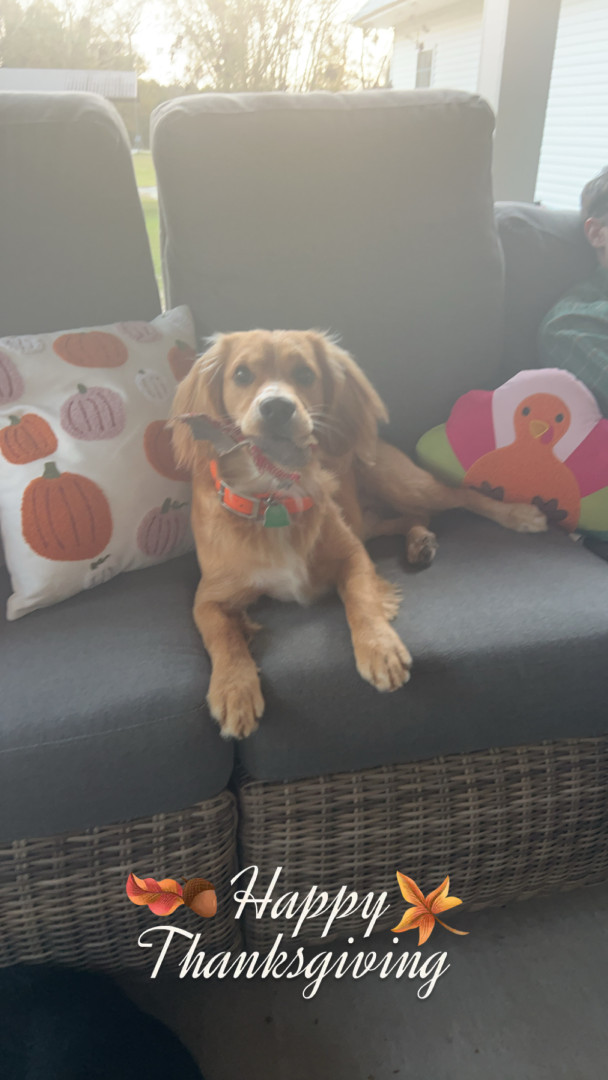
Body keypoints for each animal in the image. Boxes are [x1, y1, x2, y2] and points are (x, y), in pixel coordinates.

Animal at [170, 330, 547, 739]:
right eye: (241, 374)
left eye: (305, 373)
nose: (277, 408)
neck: (274, 496)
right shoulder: (208, 597)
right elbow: (222, 637)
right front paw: (233, 689)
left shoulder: (352, 554)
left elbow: (361, 598)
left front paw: (380, 648)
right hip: (372, 517)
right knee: (413, 517)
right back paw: (419, 542)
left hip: (400, 481)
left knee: (458, 496)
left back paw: (518, 515)